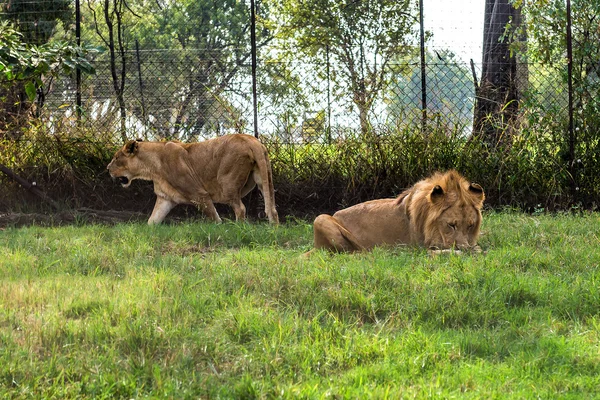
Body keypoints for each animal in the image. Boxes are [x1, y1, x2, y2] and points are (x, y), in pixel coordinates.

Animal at [106, 134, 278, 225]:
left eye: (116, 158)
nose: (107, 168)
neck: (153, 168)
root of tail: (251, 140)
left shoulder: (198, 194)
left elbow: (214, 217)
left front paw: (221, 229)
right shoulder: (165, 199)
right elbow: (152, 221)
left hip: (227, 184)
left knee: (241, 208)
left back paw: (237, 228)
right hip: (265, 179)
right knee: (272, 209)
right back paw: (273, 229)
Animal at [310, 170, 482, 253]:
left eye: (470, 226)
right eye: (451, 225)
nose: (464, 248)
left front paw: (473, 249)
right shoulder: (419, 247)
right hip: (320, 218)